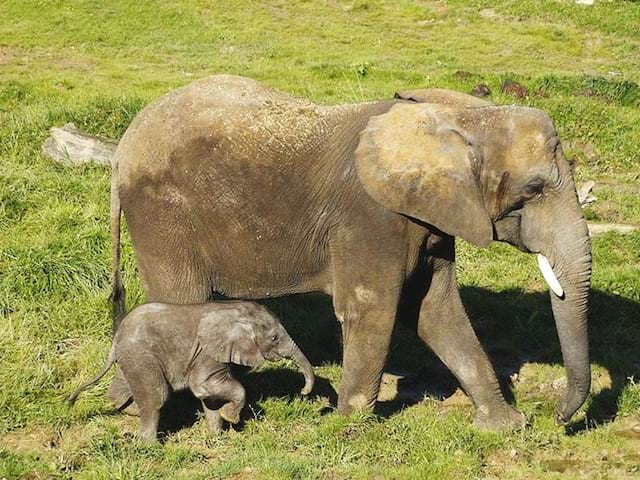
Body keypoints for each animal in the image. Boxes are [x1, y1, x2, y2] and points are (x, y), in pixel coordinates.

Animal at [67, 302, 316, 440]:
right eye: (274, 338)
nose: (303, 392)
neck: (235, 310)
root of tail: (116, 337)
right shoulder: (206, 351)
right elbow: (204, 384)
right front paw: (231, 418)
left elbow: (210, 395)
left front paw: (217, 436)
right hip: (141, 355)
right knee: (157, 397)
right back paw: (149, 445)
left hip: (132, 358)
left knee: (120, 390)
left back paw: (132, 411)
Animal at [107, 76, 592, 432]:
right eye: (534, 189)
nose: (558, 418)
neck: (459, 116)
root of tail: (123, 148)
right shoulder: (371, 218)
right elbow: (373, 309)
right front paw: (347, 426)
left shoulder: (428, 218)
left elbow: (436, 309)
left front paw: (504, 427)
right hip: (162, 214)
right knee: (181, 300)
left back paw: (125, 405)